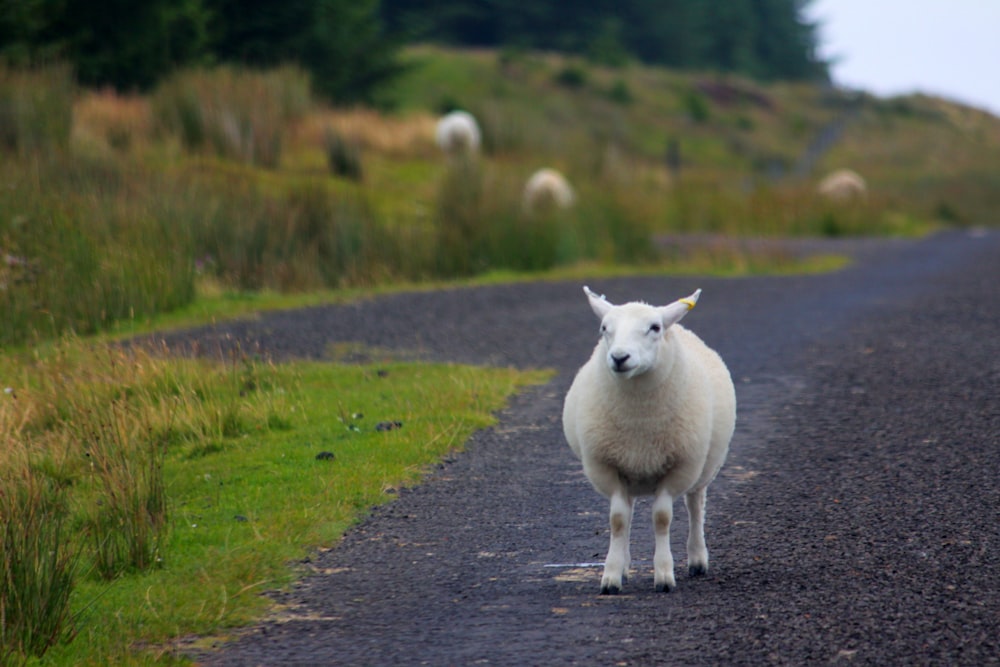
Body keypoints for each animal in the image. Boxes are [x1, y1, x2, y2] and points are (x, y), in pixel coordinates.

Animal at [564, 288, 736, 596]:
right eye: (604, 328)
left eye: (654, 328)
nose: (619, 357)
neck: (640, 422)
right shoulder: (607, 466)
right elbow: (618, 520)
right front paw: (611, 576)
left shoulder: (679, 467)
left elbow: (662, 517)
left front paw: (664, 575)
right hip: (629, 469)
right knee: (629, 513)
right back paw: (625, 566)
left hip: (702, 467)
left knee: (695, 506)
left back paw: (697, 559)